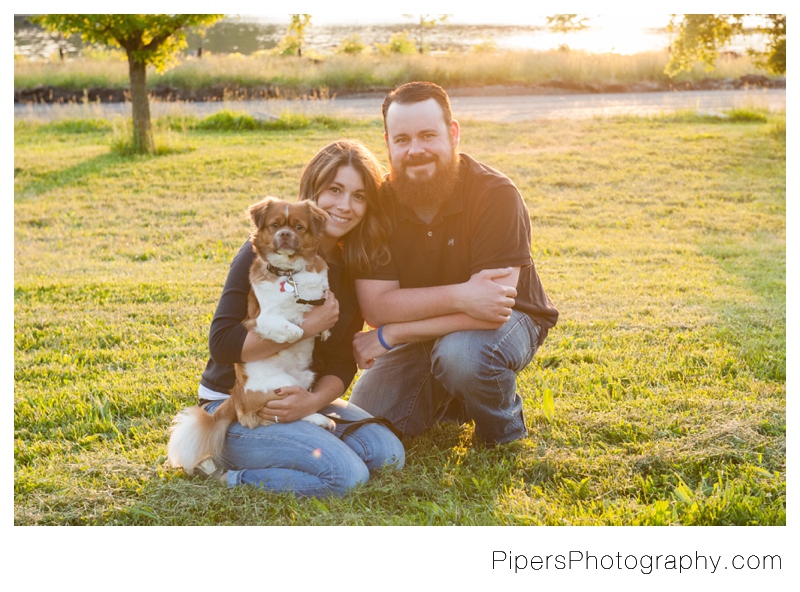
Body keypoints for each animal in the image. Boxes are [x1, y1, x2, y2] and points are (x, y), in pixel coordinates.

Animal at [168, 197, 334, 474]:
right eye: (275, 225)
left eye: (298, 227)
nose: (285, 234)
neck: (289, 275)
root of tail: (236, 399)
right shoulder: (262, 319)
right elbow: (295, 327)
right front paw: (296, 333)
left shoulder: (323, 293)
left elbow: (321, 299)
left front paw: (323, 329)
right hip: (282, 385)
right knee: (290, 413)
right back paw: (319, 419)